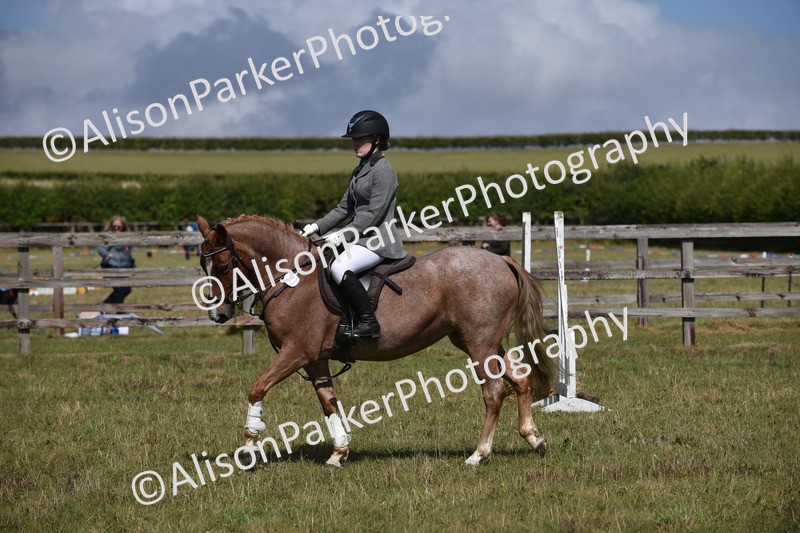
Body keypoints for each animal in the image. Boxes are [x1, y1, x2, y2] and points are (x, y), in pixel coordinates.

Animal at [196, 214, 558, 467]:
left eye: (224, 265)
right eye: (203, 265)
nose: (218, 315)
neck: (292, 279)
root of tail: (501, 260)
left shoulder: (296, 352)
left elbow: (257, 388)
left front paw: (249, 445)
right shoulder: (315, 359)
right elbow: (328, 403)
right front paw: (339, 452)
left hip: (479, 343)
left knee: (494, 392)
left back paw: (479, 454)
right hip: (478, 342)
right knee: (520, 379)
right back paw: (534, 439)